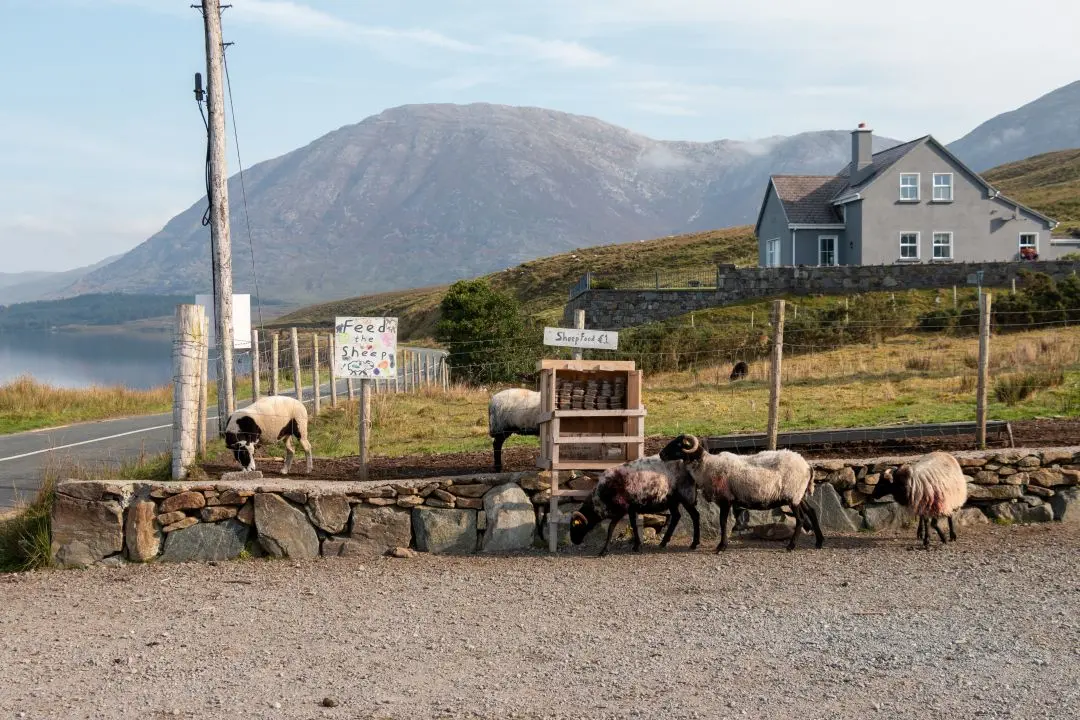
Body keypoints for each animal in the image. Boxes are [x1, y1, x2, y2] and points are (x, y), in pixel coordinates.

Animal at [565, 455, 699, 557]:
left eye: (575, 526)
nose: (574, 541)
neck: (599, 499)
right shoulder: (631, 508)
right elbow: (633, 525)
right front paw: (636, 545)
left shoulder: (621, 509)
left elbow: (611, 528)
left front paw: (604, 551)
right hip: (672, 501)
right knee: (676, 516)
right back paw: (663, 543)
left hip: (686, 496)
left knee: (695, 515)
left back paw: (694, 543)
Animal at [652, 433, 820, 552]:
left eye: (678, 444)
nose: (661, 454)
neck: (707, 465)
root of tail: (807, 466)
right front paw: (721, 545)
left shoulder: (725, 499)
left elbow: (723, 522)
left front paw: (721, 547)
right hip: (799, 494)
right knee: (811, 511)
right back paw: (819, 541)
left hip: (793, 495)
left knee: (801, 519)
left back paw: (791, 546)